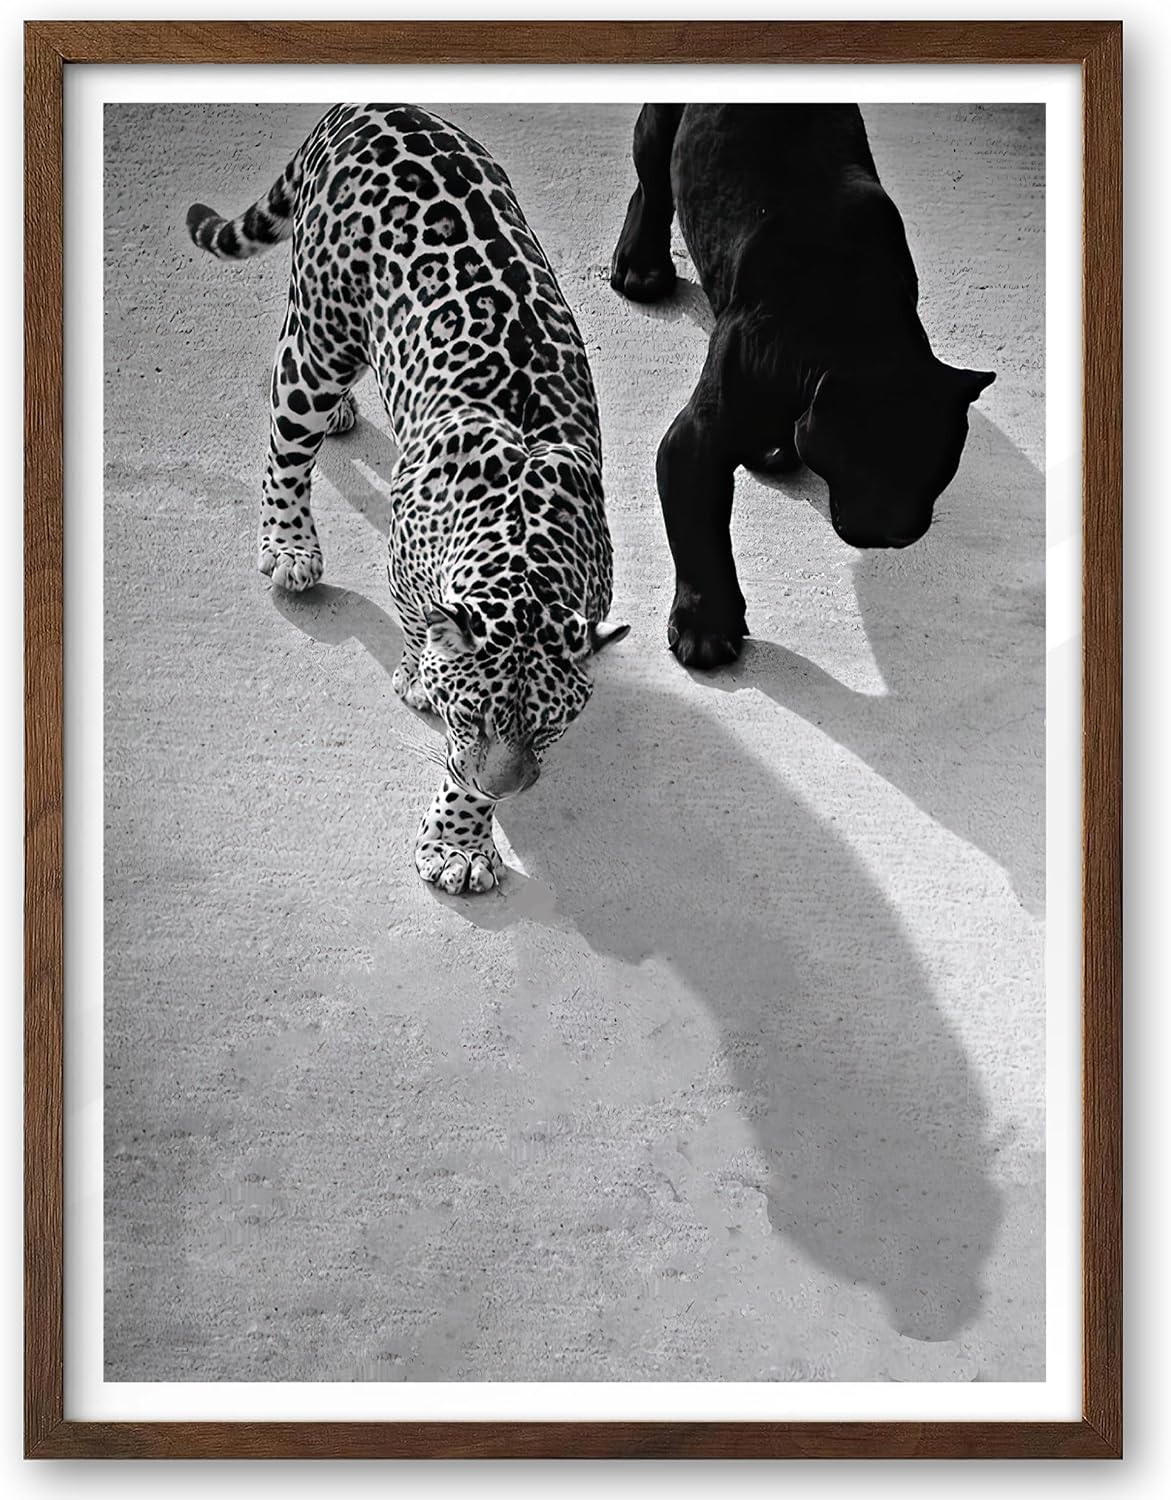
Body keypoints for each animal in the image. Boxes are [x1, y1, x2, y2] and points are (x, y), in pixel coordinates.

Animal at [187, 103, 628, 895]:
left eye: (548, 726)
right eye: (473, 716)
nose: (506, 787)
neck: (524, 545)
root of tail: (371, 107)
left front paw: (463, 834)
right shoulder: (411, 568)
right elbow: (424, 640)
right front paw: (424, 688)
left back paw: (340, 418)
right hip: (320, 334)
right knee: (285, 437)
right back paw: (288, 543)